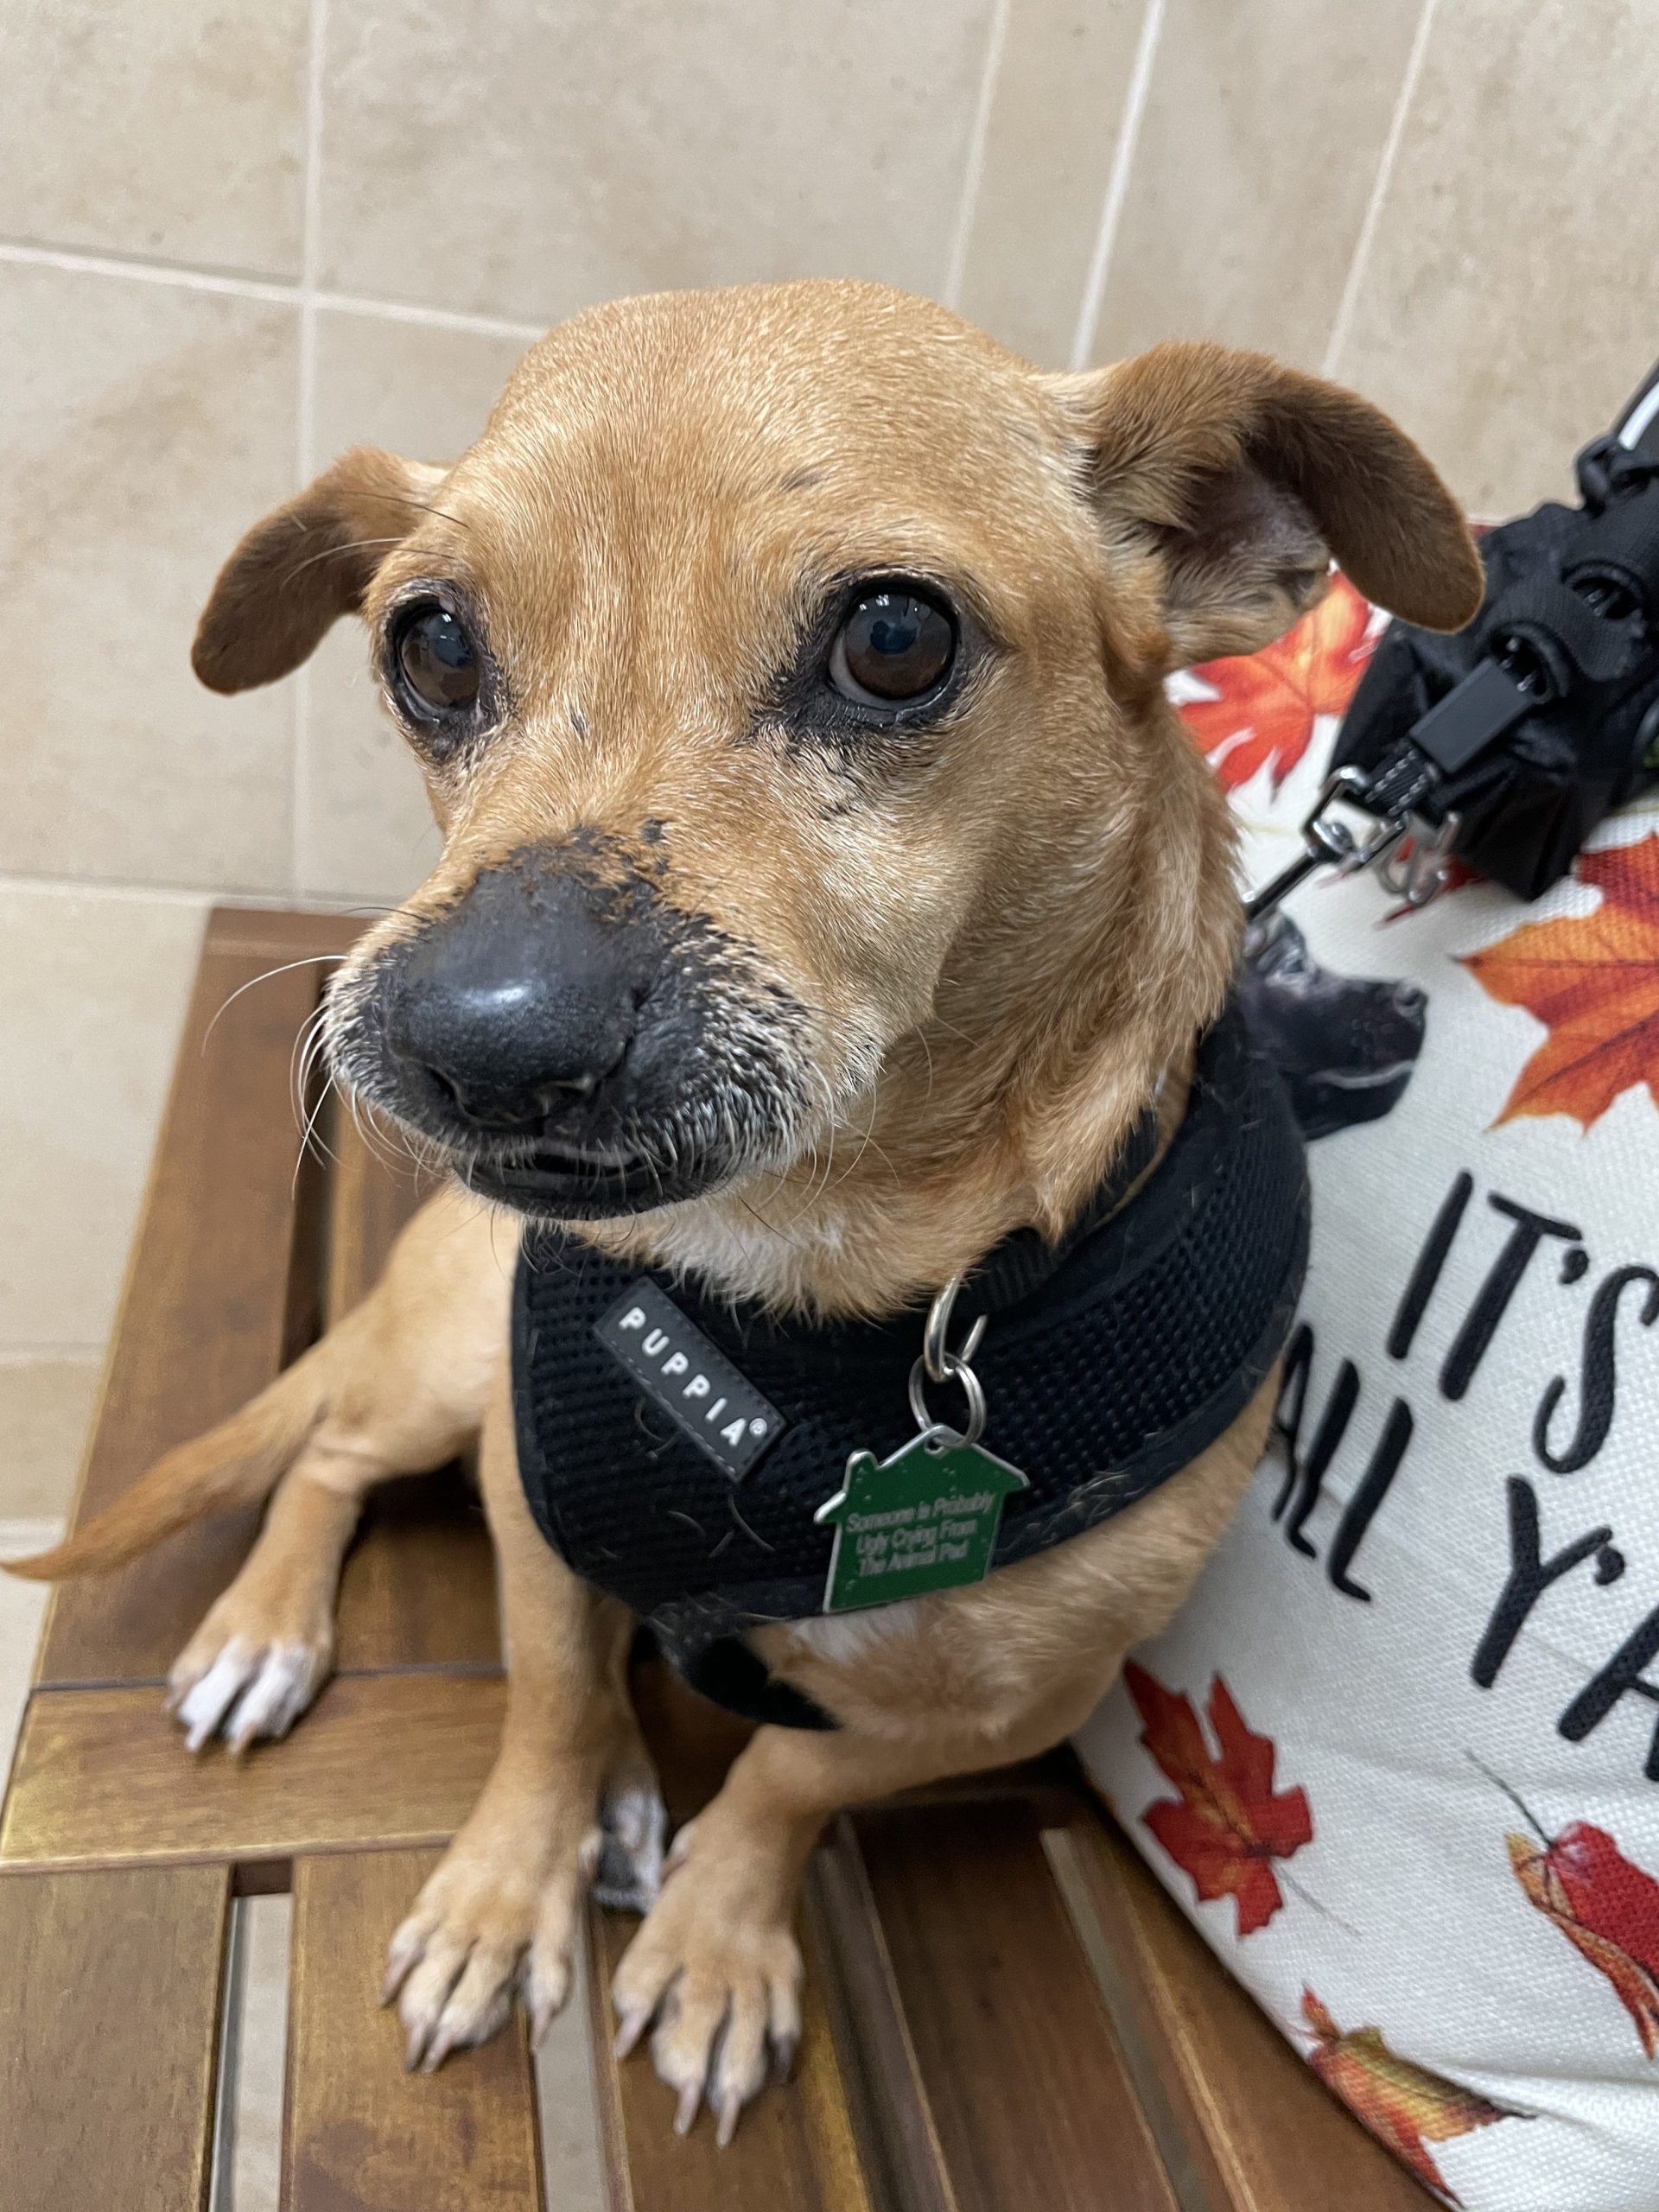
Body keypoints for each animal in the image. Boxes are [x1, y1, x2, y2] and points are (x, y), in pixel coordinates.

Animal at [6, 285, 1478, 2150]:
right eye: (430, 646)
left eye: (897, 639)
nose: (482, 1039)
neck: (816, 1286)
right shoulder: (536, 1501)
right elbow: (552, 1702)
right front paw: (506, 1890)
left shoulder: (1023, 1700)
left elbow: (795, 1767)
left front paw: (714, 1932)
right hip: (441, 1374)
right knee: (332, 1449)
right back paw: (273, 1635)